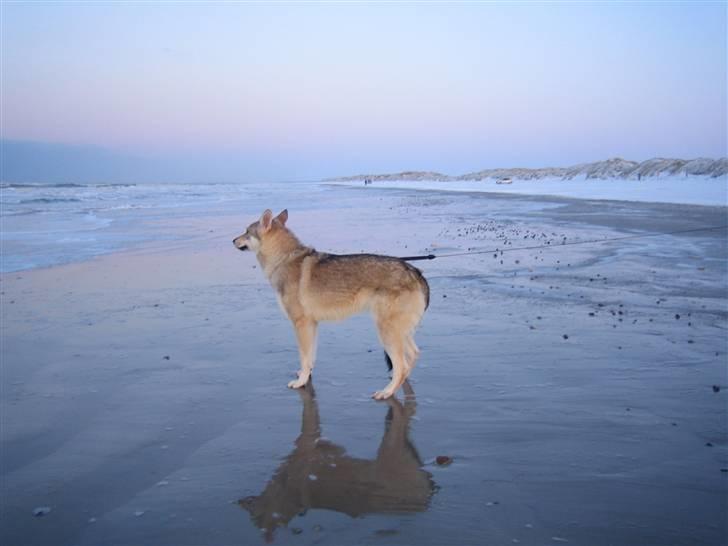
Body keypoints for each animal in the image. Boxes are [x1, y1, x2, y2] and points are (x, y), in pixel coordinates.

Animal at [232, 208, 426, 400]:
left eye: (246, 232)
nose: (233, 240)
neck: (284, 259)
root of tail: (415, 272)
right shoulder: (311, 325)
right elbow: (310, 356)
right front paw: (306, 375)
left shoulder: (301, 324)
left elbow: (303, 356)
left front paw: (301, 382)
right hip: (399, 333)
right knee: (412, 357)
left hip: (387, 332)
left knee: (401, 365)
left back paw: (387, 391)